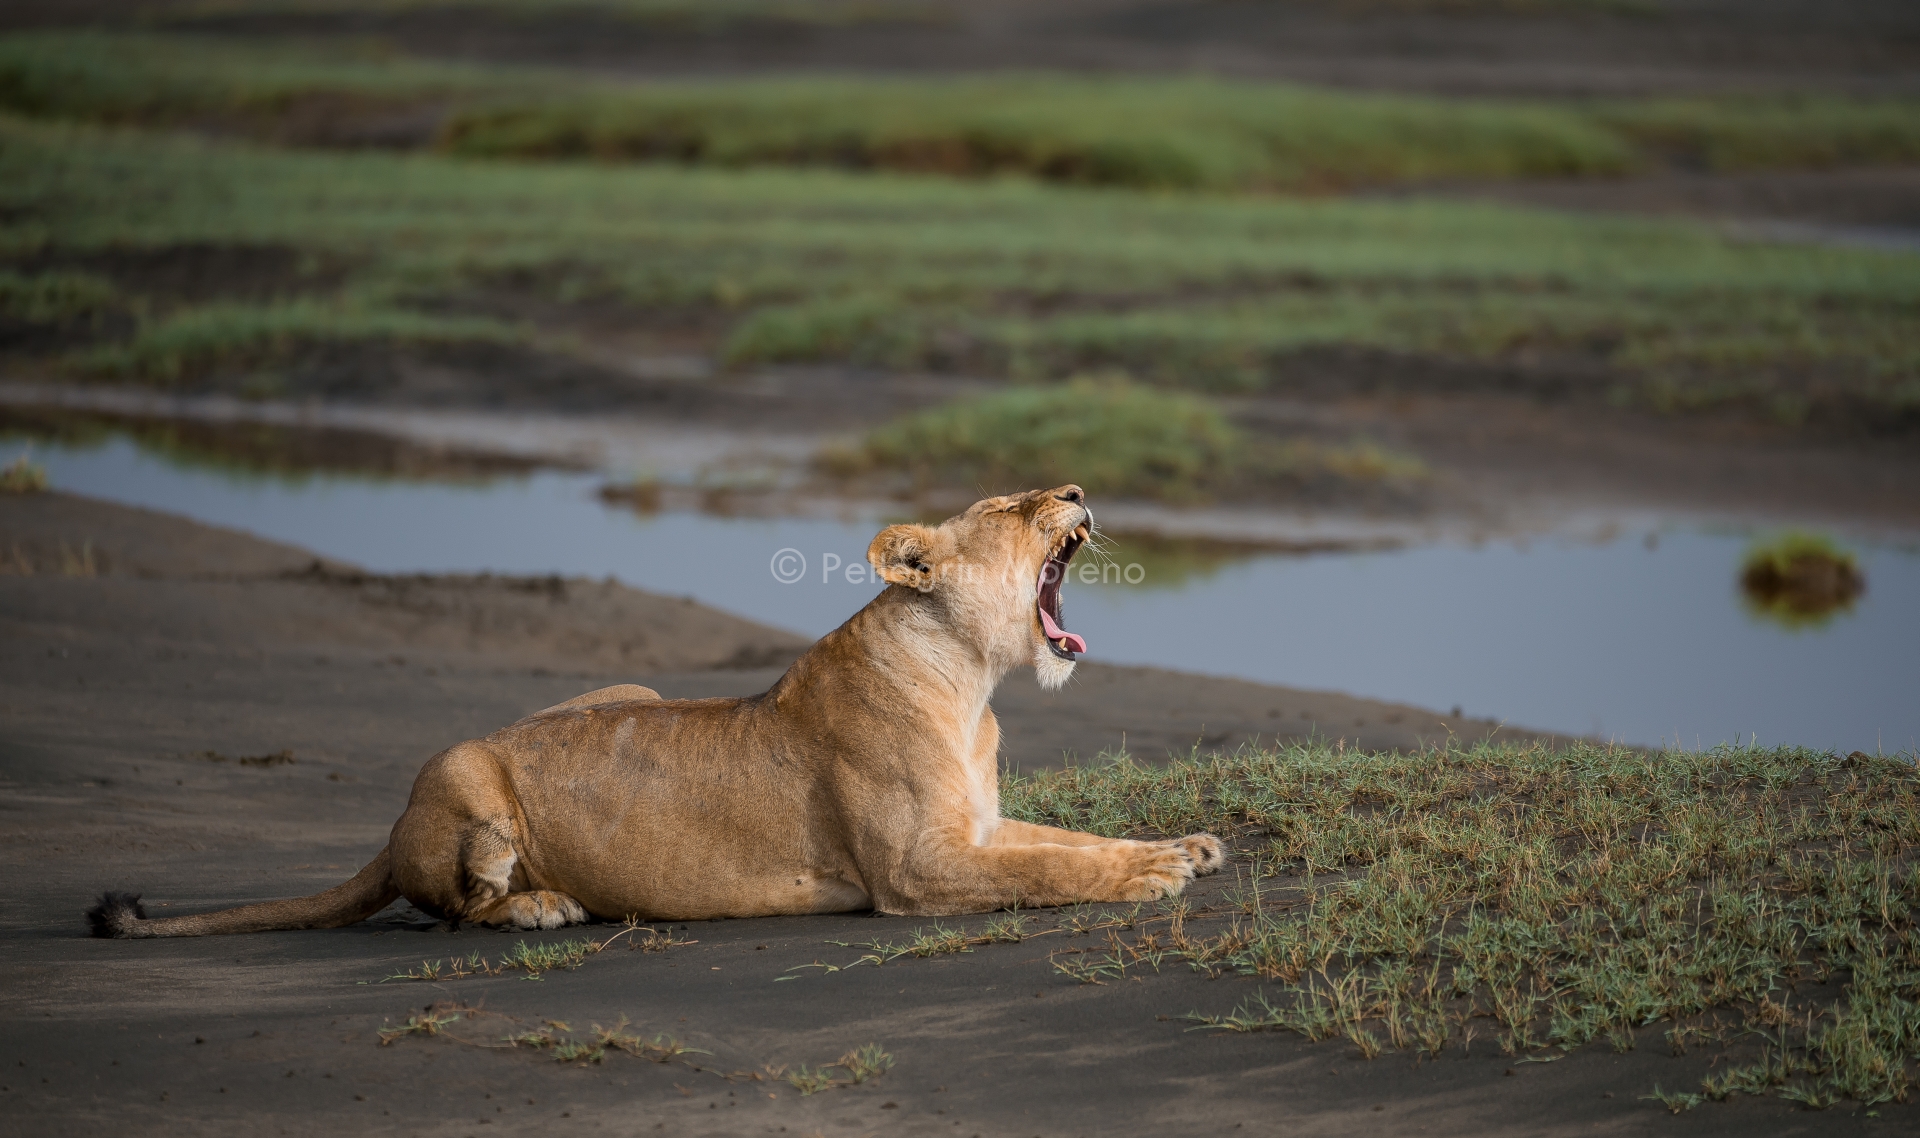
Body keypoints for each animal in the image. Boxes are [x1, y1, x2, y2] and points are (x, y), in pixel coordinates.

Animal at [87, 484, 1224, 938]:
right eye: (1006, 507)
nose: (1073, 489)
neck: (970, 681)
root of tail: (391, 825)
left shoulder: (975, 828)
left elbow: (1065, 843)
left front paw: (1183, 846)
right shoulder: (918, 870)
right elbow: (1047, 871)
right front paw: (1152, 877)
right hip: (461, 771)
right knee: (449, 901)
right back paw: (536, 905)